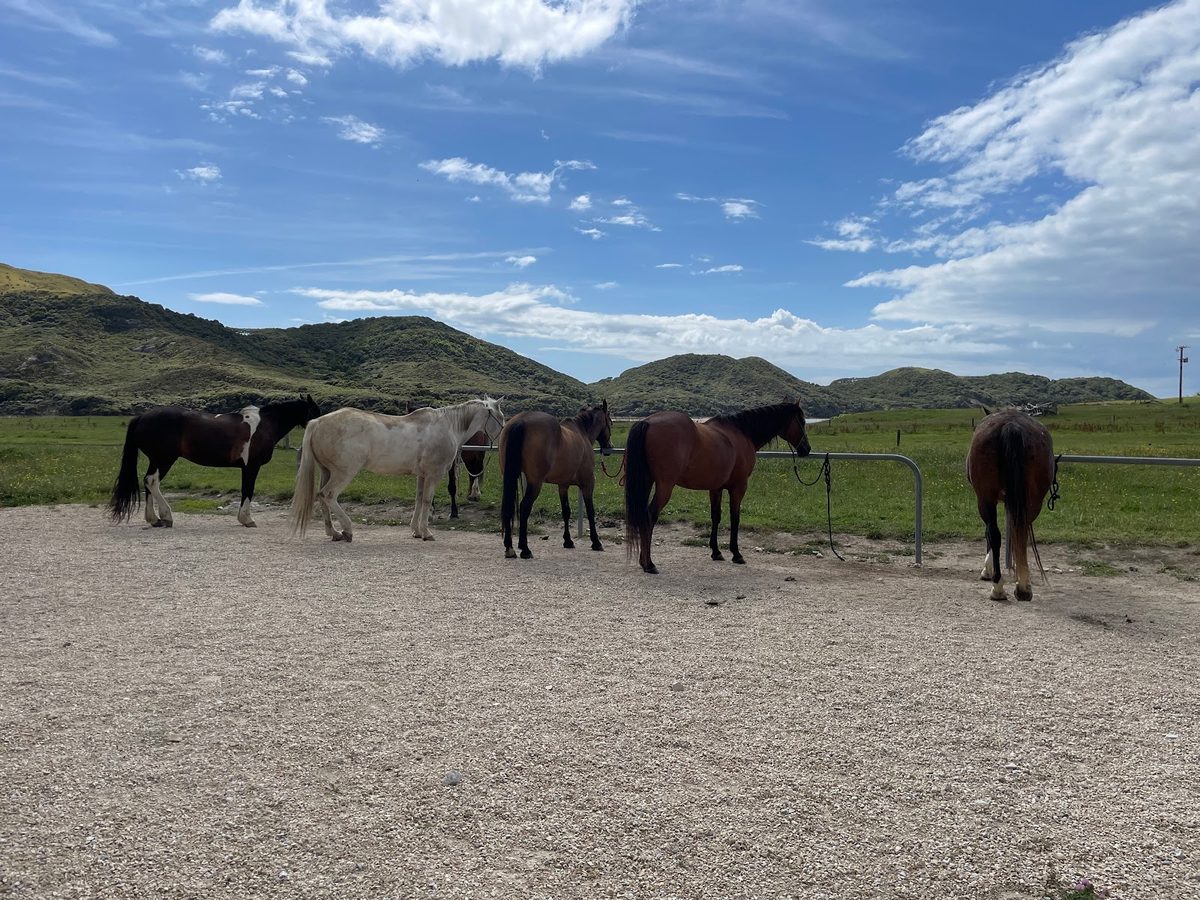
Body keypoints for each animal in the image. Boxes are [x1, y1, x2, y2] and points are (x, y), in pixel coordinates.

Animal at [108, 395, 321, 528]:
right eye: (316, 412)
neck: (264, 424)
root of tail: (141, 417)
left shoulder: (247, 467)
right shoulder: (251, 466)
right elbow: (248, 490)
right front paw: (246, 519)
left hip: (157, 460)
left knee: (148, 482)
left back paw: (155, 519)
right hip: (164, 459)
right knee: (152, 482)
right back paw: (166, 516)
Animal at [291, 397, 505, 543]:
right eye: (500, 417)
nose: (504, 435)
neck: (449, 426)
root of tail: (317, 422)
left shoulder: (422, 476)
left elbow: (419, 500)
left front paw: (416, 531)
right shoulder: (434, 475)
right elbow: (427, 501)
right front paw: (427, 532)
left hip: (326, 471)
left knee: (321, 497)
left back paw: (333, 532)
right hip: (343, 473)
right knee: (328, 495)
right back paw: (347, 529)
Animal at [500, 401, 614, 559]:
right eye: (610, 422)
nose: (609, 447)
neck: (581, 433)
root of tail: (520, 421)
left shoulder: (563, 485)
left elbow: (566, 511)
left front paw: (568, 541)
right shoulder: (588, 484)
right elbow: (590, 511)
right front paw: (596, 542)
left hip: (509, 477)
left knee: (509, 508)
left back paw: (509, 548)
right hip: (535, 483)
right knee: (524, 507)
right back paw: (525, 549)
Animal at [624, 401, 810, 574]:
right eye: (802, 421)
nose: (807, 449)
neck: (742, 433)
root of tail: (647, 422)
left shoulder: (716, 488)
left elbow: (716, 517)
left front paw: (716, 552)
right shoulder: (739, 487)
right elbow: (735, 518)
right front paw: (736, 554)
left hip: (647, 482)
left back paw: (643, 561)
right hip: (664, 487)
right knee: (649, 517)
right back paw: (649, 564)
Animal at [966, 408, 1056, 601]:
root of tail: (1011, 426)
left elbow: (990, 533)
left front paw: (988, 570)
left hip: (985, 499)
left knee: (995, 534)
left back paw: (999, 587)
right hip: (1031, 502)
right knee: (1021, 532)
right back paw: (1022, 587)